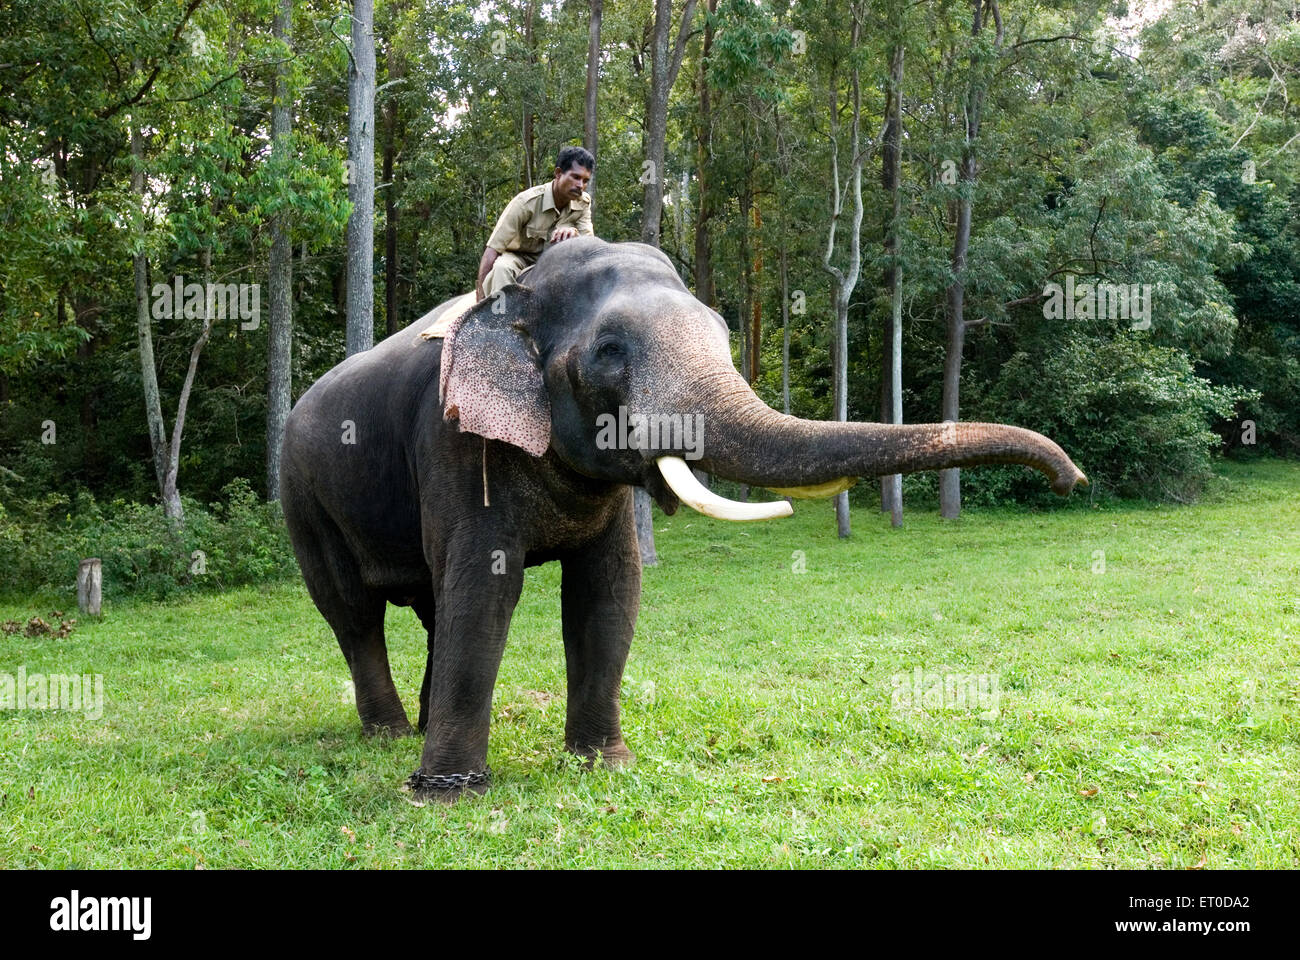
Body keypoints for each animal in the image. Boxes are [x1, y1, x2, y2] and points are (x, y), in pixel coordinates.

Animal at [284, 235, 1086, 796]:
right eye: (609, 351)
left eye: (725, 334)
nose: (1071, 478)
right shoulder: (455, 441)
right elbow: (485, 586)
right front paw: (447, 795)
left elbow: (609, 589)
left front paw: (604, 765)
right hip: (302, 496)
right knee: (353, 612)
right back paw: (389, 737)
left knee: (427, 605)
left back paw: (414, 727)